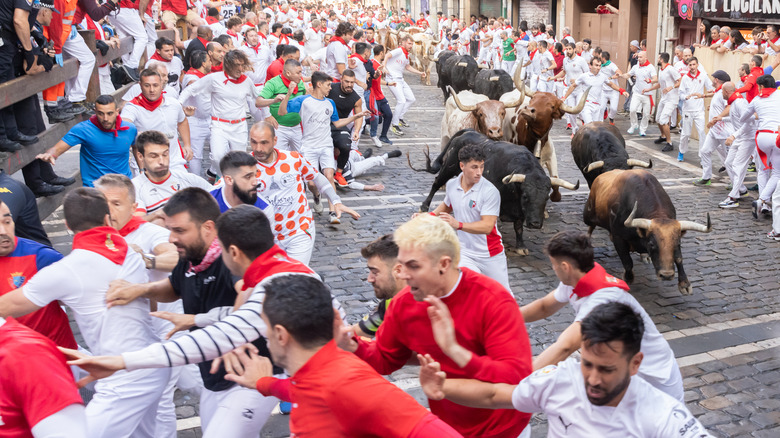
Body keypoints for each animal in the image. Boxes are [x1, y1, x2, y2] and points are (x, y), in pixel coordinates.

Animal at [414, 128, 580, 255]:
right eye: (526, 196)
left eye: (546, 198)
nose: (535, 224)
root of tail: (468, 132)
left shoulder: (519, 210)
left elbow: (518, 227)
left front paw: (521, 246)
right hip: (449, 167)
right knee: (436, 183)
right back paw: (424, 206)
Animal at [584, 169, 712, 296]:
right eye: (651, 244)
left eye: (677, 244)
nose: (666, 275)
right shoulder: (618, 237)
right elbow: (627, 262)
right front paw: (628, 278)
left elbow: (679, 258)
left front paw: (684, 284)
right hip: (589, 214)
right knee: (590, 226)